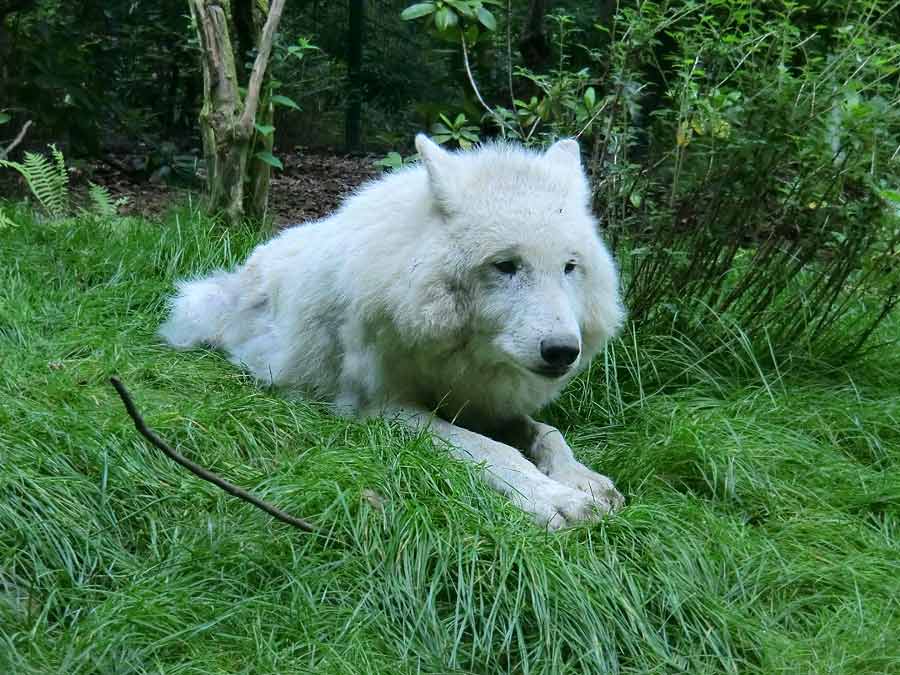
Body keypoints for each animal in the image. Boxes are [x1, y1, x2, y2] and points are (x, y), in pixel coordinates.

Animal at [160, 135, 624, 532]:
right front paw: (555, 499)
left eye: (569, 267)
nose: (563, 351)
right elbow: (491, 449)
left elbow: (548, 434)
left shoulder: (489, 404)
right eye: (505, 265)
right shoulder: (383, 407)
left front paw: (580, 478)